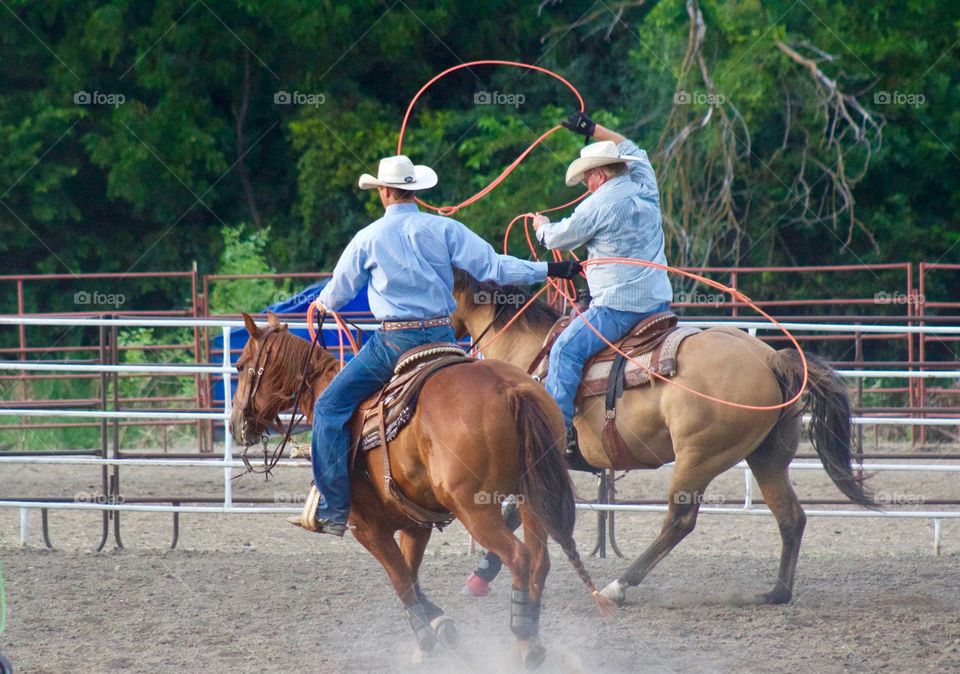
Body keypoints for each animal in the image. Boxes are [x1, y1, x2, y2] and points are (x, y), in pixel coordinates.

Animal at [229, 314, 612, 668]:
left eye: (240, 364)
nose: (235, 425)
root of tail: (511, 389)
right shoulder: (416, 524)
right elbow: (411, 576)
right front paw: (439, 626)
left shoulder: (366, 528)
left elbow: (400, 579)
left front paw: (426, 643)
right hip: (530, 498)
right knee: (539, 561)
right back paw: (531, 637)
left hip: (475, 509)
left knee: (519, 556)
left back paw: (524, 642)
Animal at [454, 270, 872, 608]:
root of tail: (770, 358)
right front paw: (483, 574)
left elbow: (513, 511)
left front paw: (483, 572)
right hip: (768, 457)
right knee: (790, 517)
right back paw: (776, 593)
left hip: (698, 457)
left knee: (679, 521)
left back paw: (617, 588)